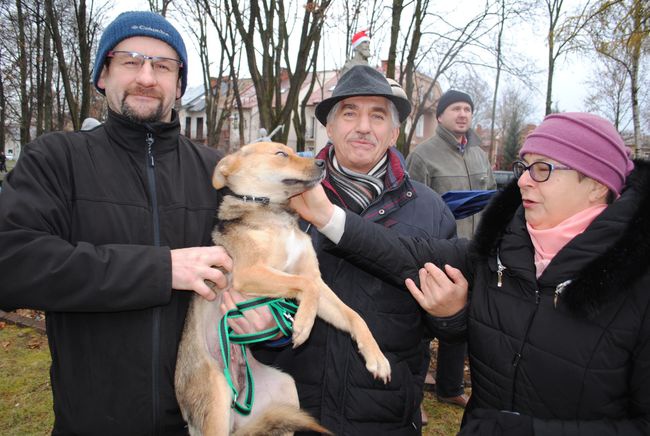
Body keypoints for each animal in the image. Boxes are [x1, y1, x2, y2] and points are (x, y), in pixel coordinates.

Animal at [175, 141, 390, 434]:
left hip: (286, 391)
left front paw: (376, 357)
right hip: (217, 400)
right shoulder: (250, 272)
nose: (321, 163)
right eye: (280, 154)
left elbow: (353, 315)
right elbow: (303, 285)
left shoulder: (315, 279)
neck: (273, 213)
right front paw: (303, 324)